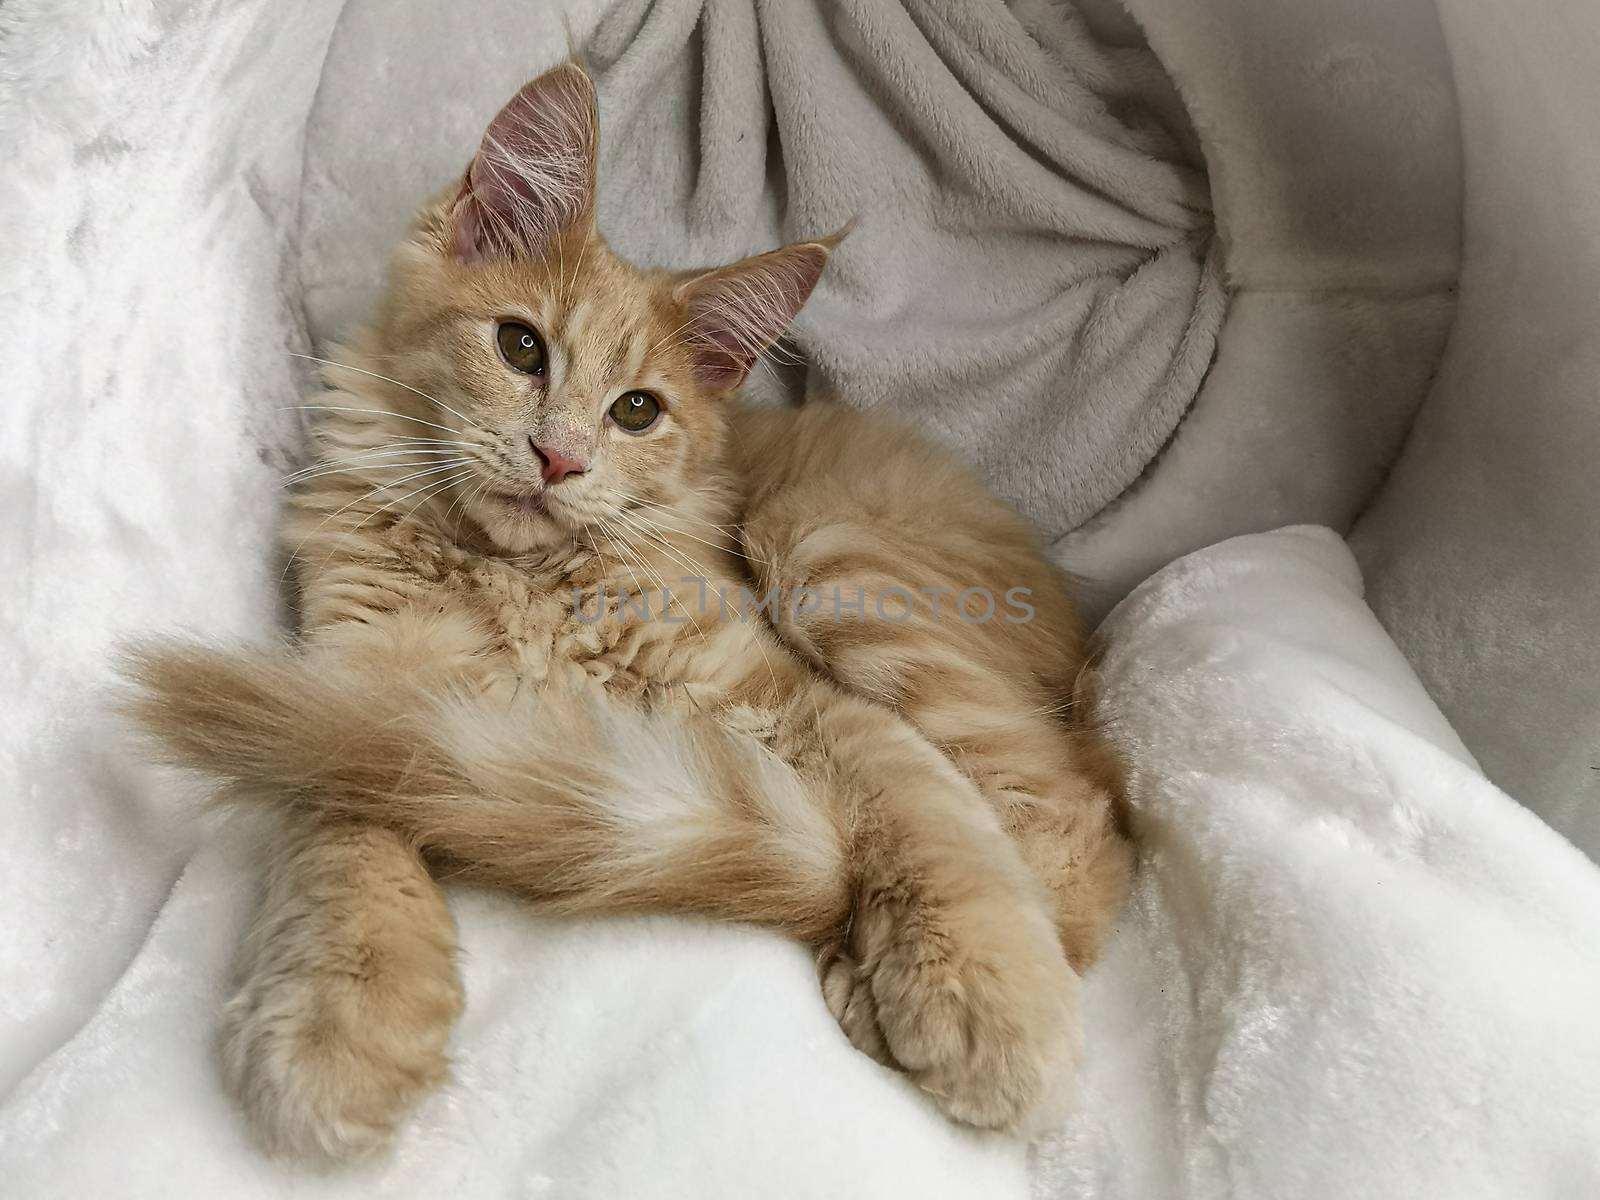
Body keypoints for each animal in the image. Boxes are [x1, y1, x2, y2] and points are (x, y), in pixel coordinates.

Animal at [124, 61, 1132, 1158]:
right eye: (521, 348)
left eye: (637, 411)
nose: (558, 458)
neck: (517, 579)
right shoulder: (354, 688)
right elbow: (340, 838)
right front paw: (340, 1021)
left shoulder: (799, 696)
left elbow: (934, 825)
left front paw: (994, 1004)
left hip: (823, 550)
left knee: (1072, 821)